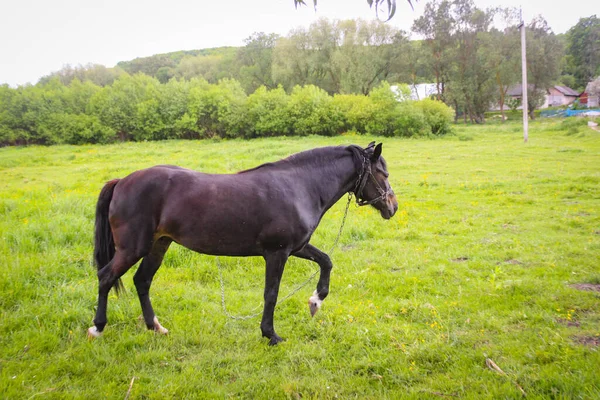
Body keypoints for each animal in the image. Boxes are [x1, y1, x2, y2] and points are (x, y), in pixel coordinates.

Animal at [89, 142, 396, 346]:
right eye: (384, 174)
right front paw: (270, 335)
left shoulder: (296, 248)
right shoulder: (277, 253)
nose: (393, 207)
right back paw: (98, 328)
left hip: (159, 245)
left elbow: (326, 261)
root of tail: (121, 181)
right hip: (132, 248)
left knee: (142, 281)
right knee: (106, 277)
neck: (298, 187)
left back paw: (155, 327)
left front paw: (315, 301)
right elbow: (271, 294)